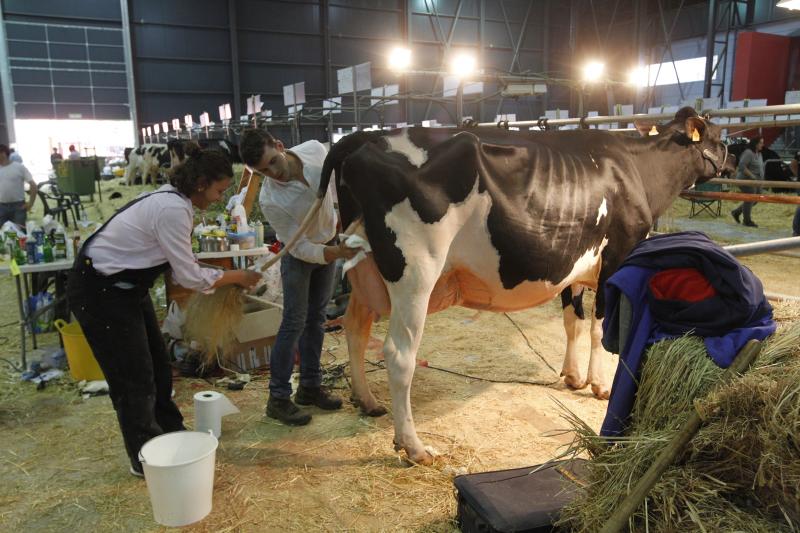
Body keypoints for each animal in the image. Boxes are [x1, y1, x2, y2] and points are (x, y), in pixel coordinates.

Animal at [274, 106, 732, 464]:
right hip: (415, 271)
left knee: (355, 327)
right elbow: (600, 327)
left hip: (363, 269)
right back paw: (414, 447)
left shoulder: (572, 262)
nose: (728, 154)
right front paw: (600, 385)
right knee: (399, 354)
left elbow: (572, 321)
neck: (636, 168)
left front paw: (572, 376)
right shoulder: (618, 253)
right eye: (713, 132)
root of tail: (360, 138)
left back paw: (366, 400)